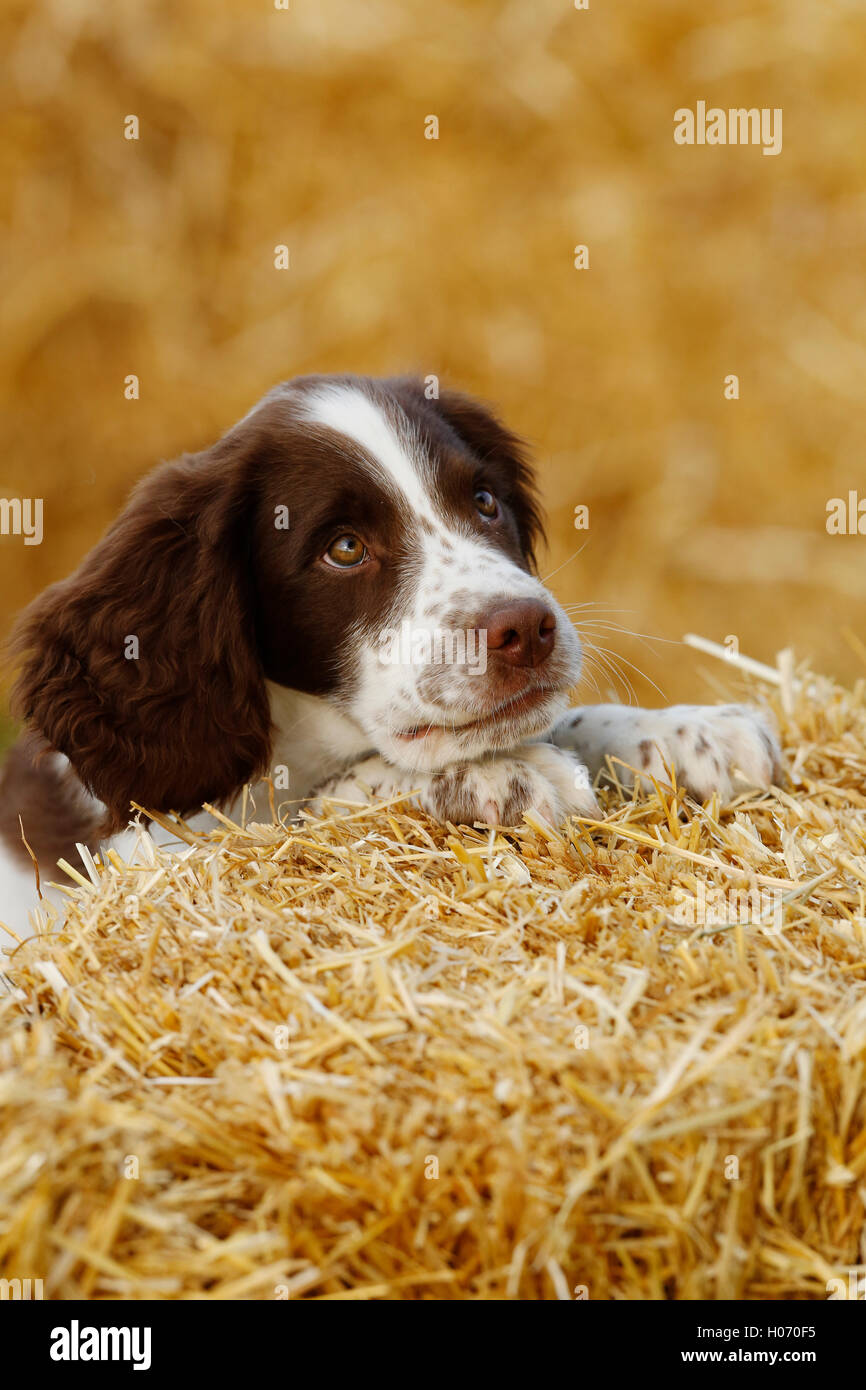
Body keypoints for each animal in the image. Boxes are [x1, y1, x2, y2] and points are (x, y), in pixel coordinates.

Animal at [0, 380, 783, 939]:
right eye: (344, 548)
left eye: (485, 500)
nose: (529, 629)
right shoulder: (158, 850)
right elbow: (316, 809)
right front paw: (501, 775)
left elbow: (563, 717)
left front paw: (691, 731)